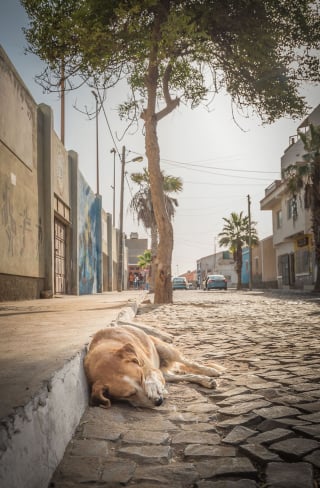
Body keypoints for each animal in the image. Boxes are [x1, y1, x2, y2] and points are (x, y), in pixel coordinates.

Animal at [85, 328, 225, 408]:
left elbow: (152, 378)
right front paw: (159, 390)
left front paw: (154, 388)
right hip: (166, 373)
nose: (159, 401)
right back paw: (205, 380)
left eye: (141, 377)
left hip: (167, 350)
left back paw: (210, 372)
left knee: (191, 363)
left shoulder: (150, 369)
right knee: (184, 376)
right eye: (129, 395)